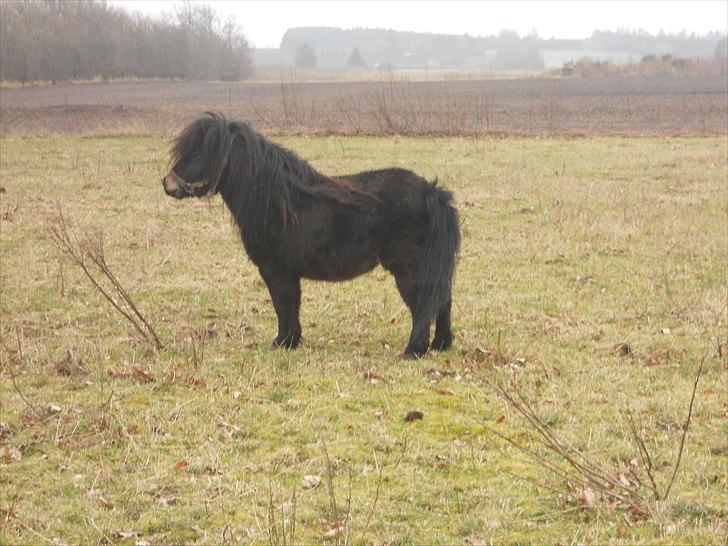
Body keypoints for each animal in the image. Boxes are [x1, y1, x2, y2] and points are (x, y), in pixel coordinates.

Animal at [165, 111, 460, 356]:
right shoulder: (287, 272)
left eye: (197, 154)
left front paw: (282, 342)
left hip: (409, 269)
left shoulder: (275, 269)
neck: (278, 201)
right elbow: (290, 305)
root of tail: (431, 192)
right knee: (442, 300)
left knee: (425, 304)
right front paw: (291, 341)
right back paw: (440, 344)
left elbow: (282, 304)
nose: (167, 184)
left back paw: (414, 350)